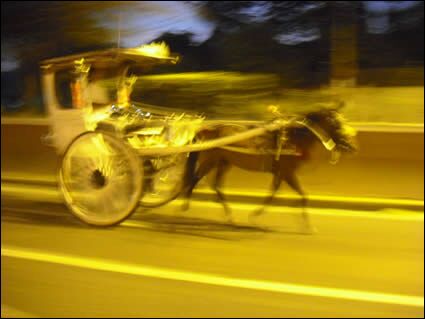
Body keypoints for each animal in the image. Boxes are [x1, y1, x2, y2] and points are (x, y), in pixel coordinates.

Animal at [181, 104, 356, 232]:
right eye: (337, 125)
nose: (352, 147)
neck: (293, 139)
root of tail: (208, 130)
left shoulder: (280, 172)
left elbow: (274, 194)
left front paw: (256, 216)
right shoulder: (287, 172)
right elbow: (301, 195)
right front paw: (307, 225)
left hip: (224, 162)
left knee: (216, 185)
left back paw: (230, 217)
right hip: (211, 160)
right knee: (195, 178)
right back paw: (185, 205)